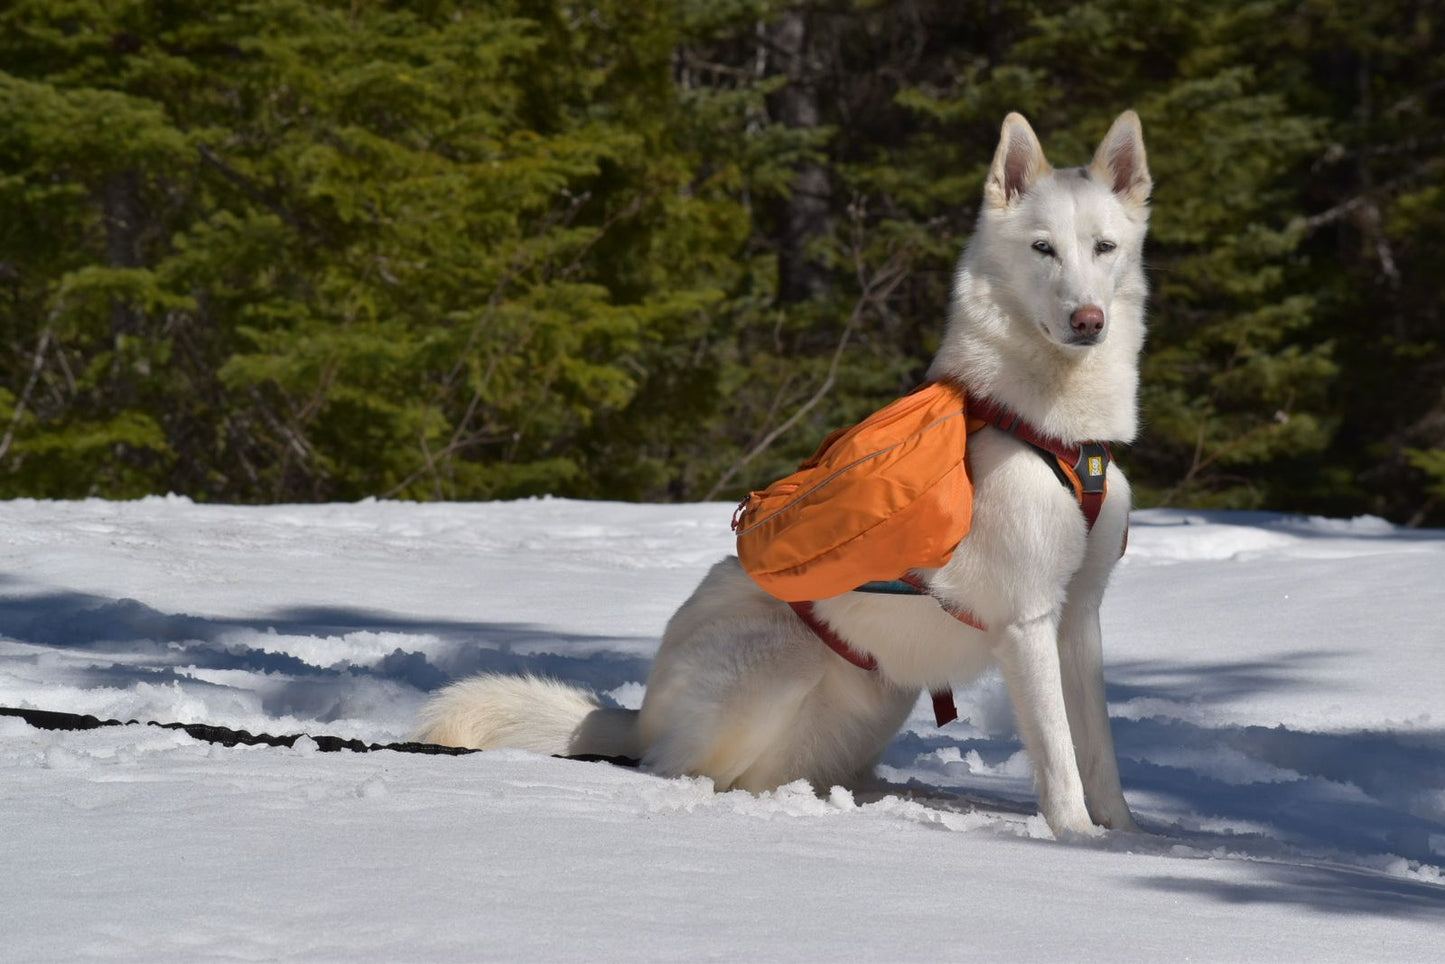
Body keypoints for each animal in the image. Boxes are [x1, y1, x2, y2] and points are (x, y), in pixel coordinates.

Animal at [419, 111, 1150, 838]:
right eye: (1042, 249)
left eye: (1104, 247)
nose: (1088, 321)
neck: (1058, 433)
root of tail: (641, 715)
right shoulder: (1028, 622)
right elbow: (1058, 757)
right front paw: (1077, 839)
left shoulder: (1079, 618)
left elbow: (1099, 752)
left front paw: (1127, 837)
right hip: (782, 658)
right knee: (678, 771)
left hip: (884, 692)